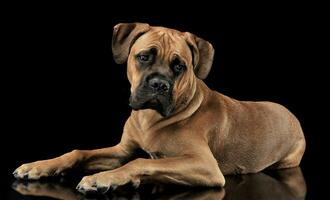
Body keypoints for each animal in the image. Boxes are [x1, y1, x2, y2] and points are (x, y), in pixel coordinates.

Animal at [13, 22, 306, 195]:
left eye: (179, 66)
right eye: (144, 57)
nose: (159, 84)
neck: (150, 118)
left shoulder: (204, 165)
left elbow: (141, 161)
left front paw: (103, 179)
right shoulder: (121, 150)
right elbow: (79, 152)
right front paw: (39, 166)